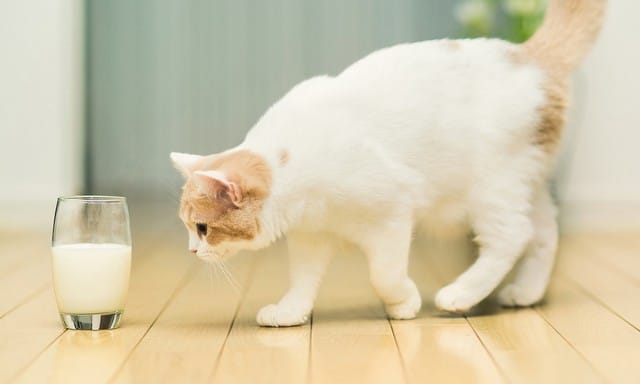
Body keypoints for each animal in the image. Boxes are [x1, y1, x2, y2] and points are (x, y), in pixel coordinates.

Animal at [169, 0, 604, 328]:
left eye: (203, 229)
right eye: (189, 228)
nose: (190, 251)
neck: (293, 167)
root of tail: (528, 56)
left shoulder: (392, 216)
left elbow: (384, 275)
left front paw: (403, 303)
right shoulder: (311, 237)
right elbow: (303, 281)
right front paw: (290, 312)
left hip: (492, 189)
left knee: (512, 235)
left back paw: (459, 295)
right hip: (525, 185)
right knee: (544, 232)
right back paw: (526, 293)